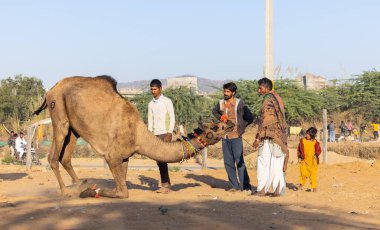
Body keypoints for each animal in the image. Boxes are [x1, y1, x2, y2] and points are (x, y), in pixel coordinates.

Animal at [34, 75, 235, 198]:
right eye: (217, 126)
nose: (231, 123)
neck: (139, 136)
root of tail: (51, 89)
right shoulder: (112, 156)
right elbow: (123, 192)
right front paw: (90, 192)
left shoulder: (125, 158)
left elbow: (121, 184)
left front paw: (89, 189)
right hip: (58, 111)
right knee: (53, 156)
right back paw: (66, 191)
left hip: (74, 126)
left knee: (66, 157)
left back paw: (80, 184)